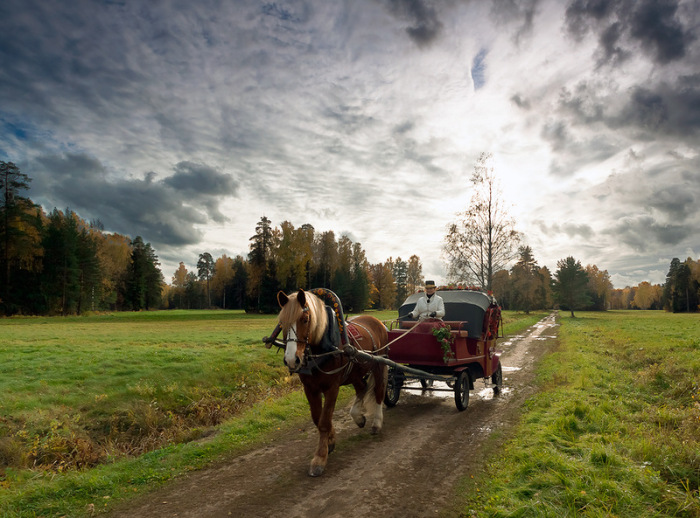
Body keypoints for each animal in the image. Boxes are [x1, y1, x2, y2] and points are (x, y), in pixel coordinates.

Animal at [278, 290, 388, 478]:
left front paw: (319, 459)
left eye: (305, 319)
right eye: (282, 322)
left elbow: (324, 420)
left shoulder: (332, 388)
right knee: (362, 387)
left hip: (379, 364)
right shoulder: (310, 389)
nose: (292, 360)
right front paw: (330, 441)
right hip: (355, 372)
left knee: (379, 391)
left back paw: (377, 423)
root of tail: (378, 321)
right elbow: (318, 419)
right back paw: (358, 417)